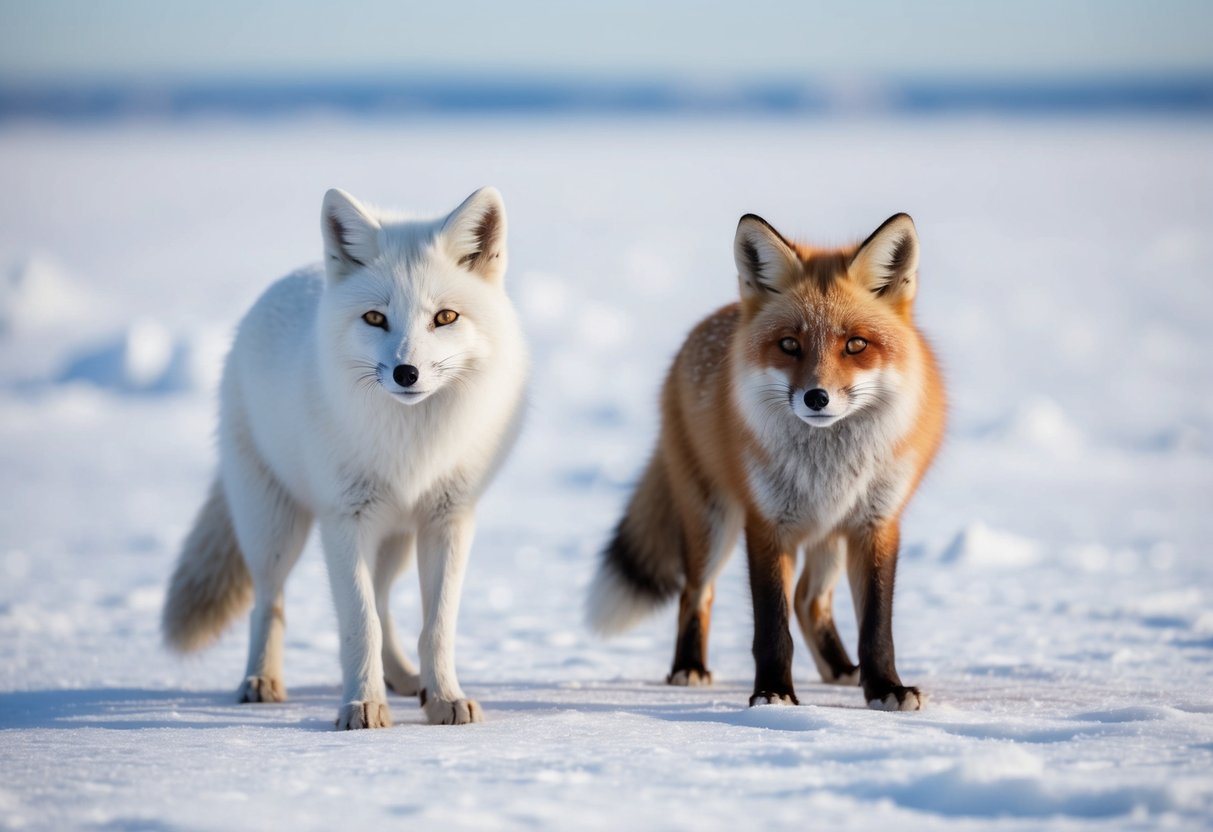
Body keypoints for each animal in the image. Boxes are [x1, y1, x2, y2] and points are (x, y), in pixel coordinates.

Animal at [162, 186, 527, 729]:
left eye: (445, 317)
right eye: (375, 318)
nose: (405, 373)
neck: (411, 445)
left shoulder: (448, 519)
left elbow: (435, 626)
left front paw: (444, 699)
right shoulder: (344, 519)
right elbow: (360, 623)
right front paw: (361, 706)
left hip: (395, 538)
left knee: (384, 600)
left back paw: (405, 679)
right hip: (275, 528)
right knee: (269, 602)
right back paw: (261, 680)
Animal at [587, 212, 945, 711]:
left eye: (855, 345)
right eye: (790, 345)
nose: (817, 397)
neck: (828, 465)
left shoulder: (876, 522)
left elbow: (876, 626)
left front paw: (885, 688)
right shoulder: (767, 523)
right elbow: (772, 625)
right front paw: (773, 694)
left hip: (829, 535)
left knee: (810, 601)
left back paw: (842, 670)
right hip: (712, 522)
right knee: (696, 593)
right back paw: (689, 668)